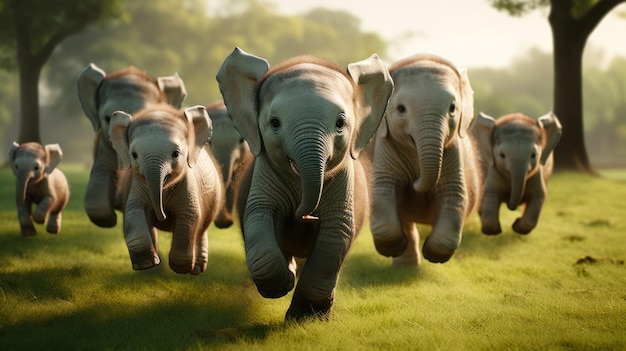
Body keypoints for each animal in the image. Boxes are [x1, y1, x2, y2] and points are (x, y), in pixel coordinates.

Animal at [108, 104, 223, 276]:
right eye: (134, 155)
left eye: (175, 154)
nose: (162, 216)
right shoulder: (137, 185)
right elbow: (133, 211)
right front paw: (146, 264)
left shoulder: (188, 185)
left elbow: (189, 215)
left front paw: (180, 269)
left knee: (201, 228)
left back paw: (196, 270)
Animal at [216, 48, 390, 324]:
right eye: (275, 123)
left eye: (340, 123)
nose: (306, 216)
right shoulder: (264, 173)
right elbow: (258, 215)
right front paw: (282, 285)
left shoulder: (344, 182)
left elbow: (336, 234)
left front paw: (305, 320)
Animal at [368, 53, 480, 266]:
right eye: (401, 109)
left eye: (453, 108)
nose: (415, 183)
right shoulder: (385, 146)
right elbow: (382, 190)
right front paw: (392, 248)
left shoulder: (453, 151)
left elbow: (455, 195)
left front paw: (433, 255)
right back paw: (405, 265)